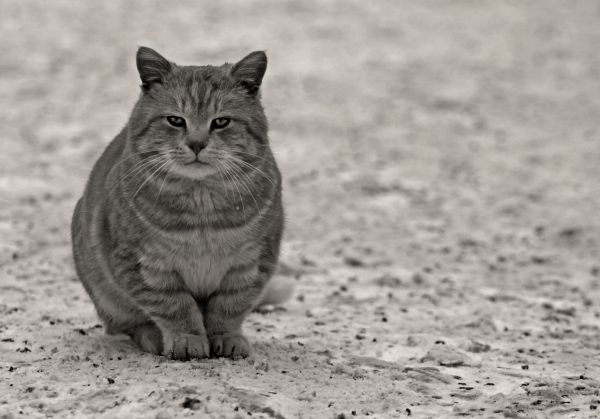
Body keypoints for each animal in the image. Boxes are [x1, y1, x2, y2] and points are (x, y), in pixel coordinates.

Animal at [71, 46, 290, 360]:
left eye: (221, 122)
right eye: (175, 120)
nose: (196, 143)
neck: (203, 208)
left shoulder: (251, 264)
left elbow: (229, 308)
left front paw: (227, 338)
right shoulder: (145, 266)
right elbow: (175, 307)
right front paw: (187, 339)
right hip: (106, 292)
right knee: (128, 324)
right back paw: (152, 337)